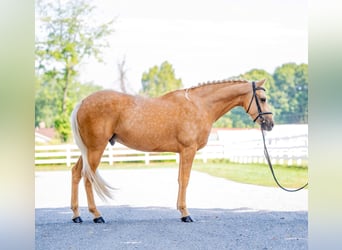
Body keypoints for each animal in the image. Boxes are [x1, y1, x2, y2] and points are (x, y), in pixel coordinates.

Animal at [71, 78, 274, 223]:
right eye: (263, 99)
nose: (270, 124)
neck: (200, 105)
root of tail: (82, 102)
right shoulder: (189, 150)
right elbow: (185, 180)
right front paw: (186, 214)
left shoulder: (182, 152)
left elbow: (179, 180)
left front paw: (181, 210)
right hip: (96, 149)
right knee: (87, 177)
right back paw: (97, 215)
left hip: (88, 150)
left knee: (76, 172)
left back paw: (76, 215)